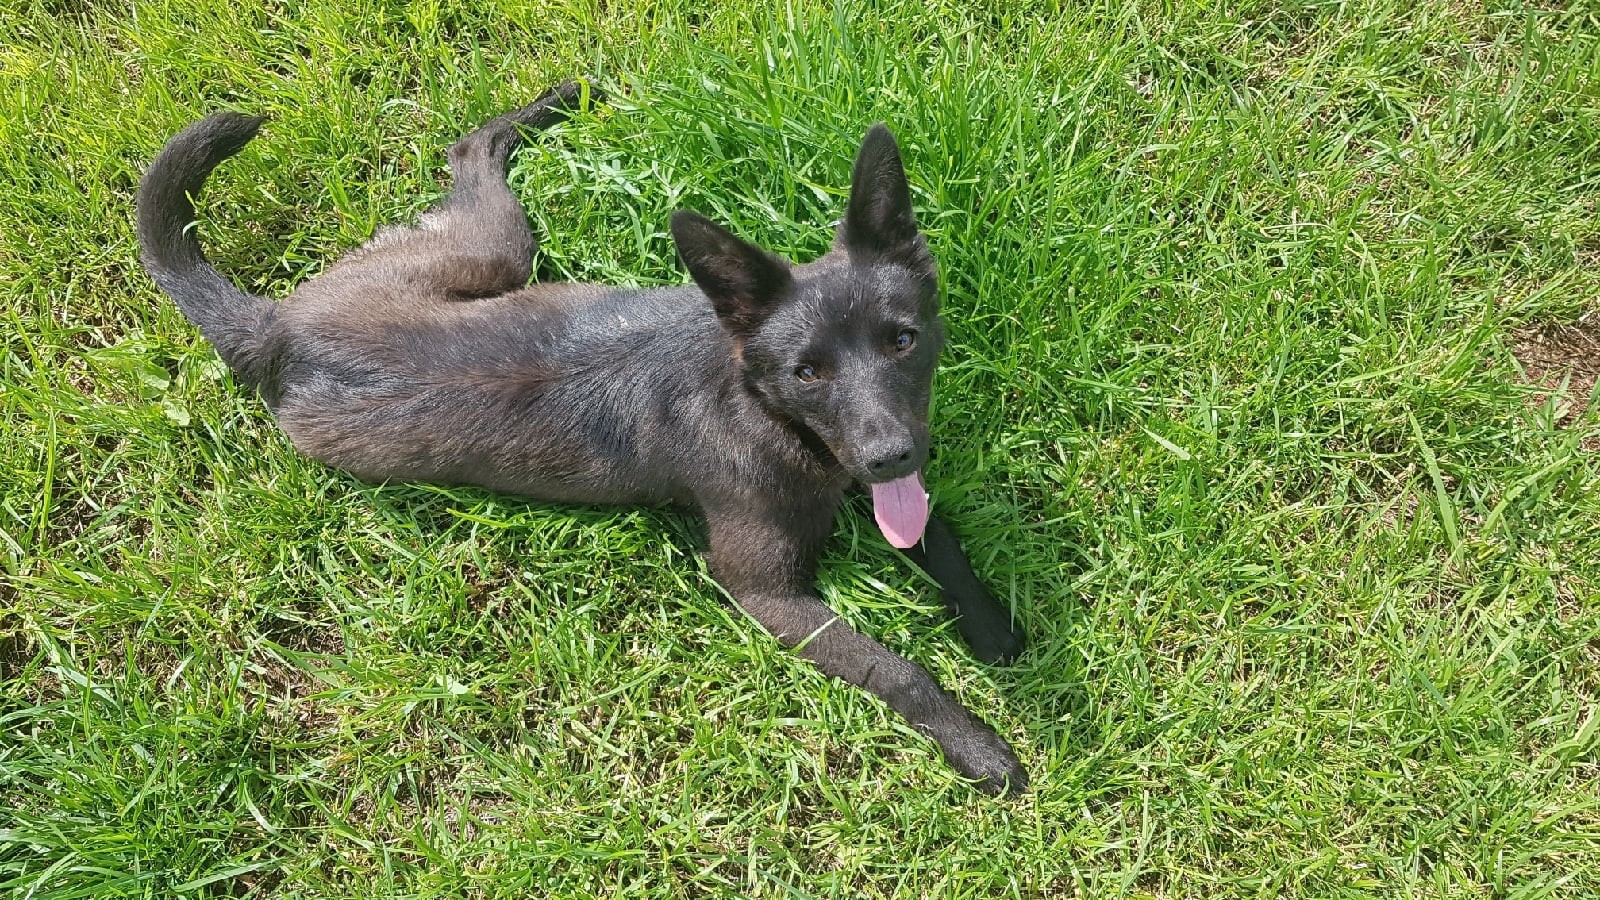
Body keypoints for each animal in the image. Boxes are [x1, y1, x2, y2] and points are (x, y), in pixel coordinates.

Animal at [137, 81, 1027, 794]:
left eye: (903, 341)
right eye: (807, 373)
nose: (889, 455)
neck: (762, 407)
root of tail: (276, 330)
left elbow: (941, 539)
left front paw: (990, 627)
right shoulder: (766, 592)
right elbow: (897, 669)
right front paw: (976, 744)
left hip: (485, 258)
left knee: (470, 152)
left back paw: (554, 104)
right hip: (490, 256)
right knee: (467, 152)